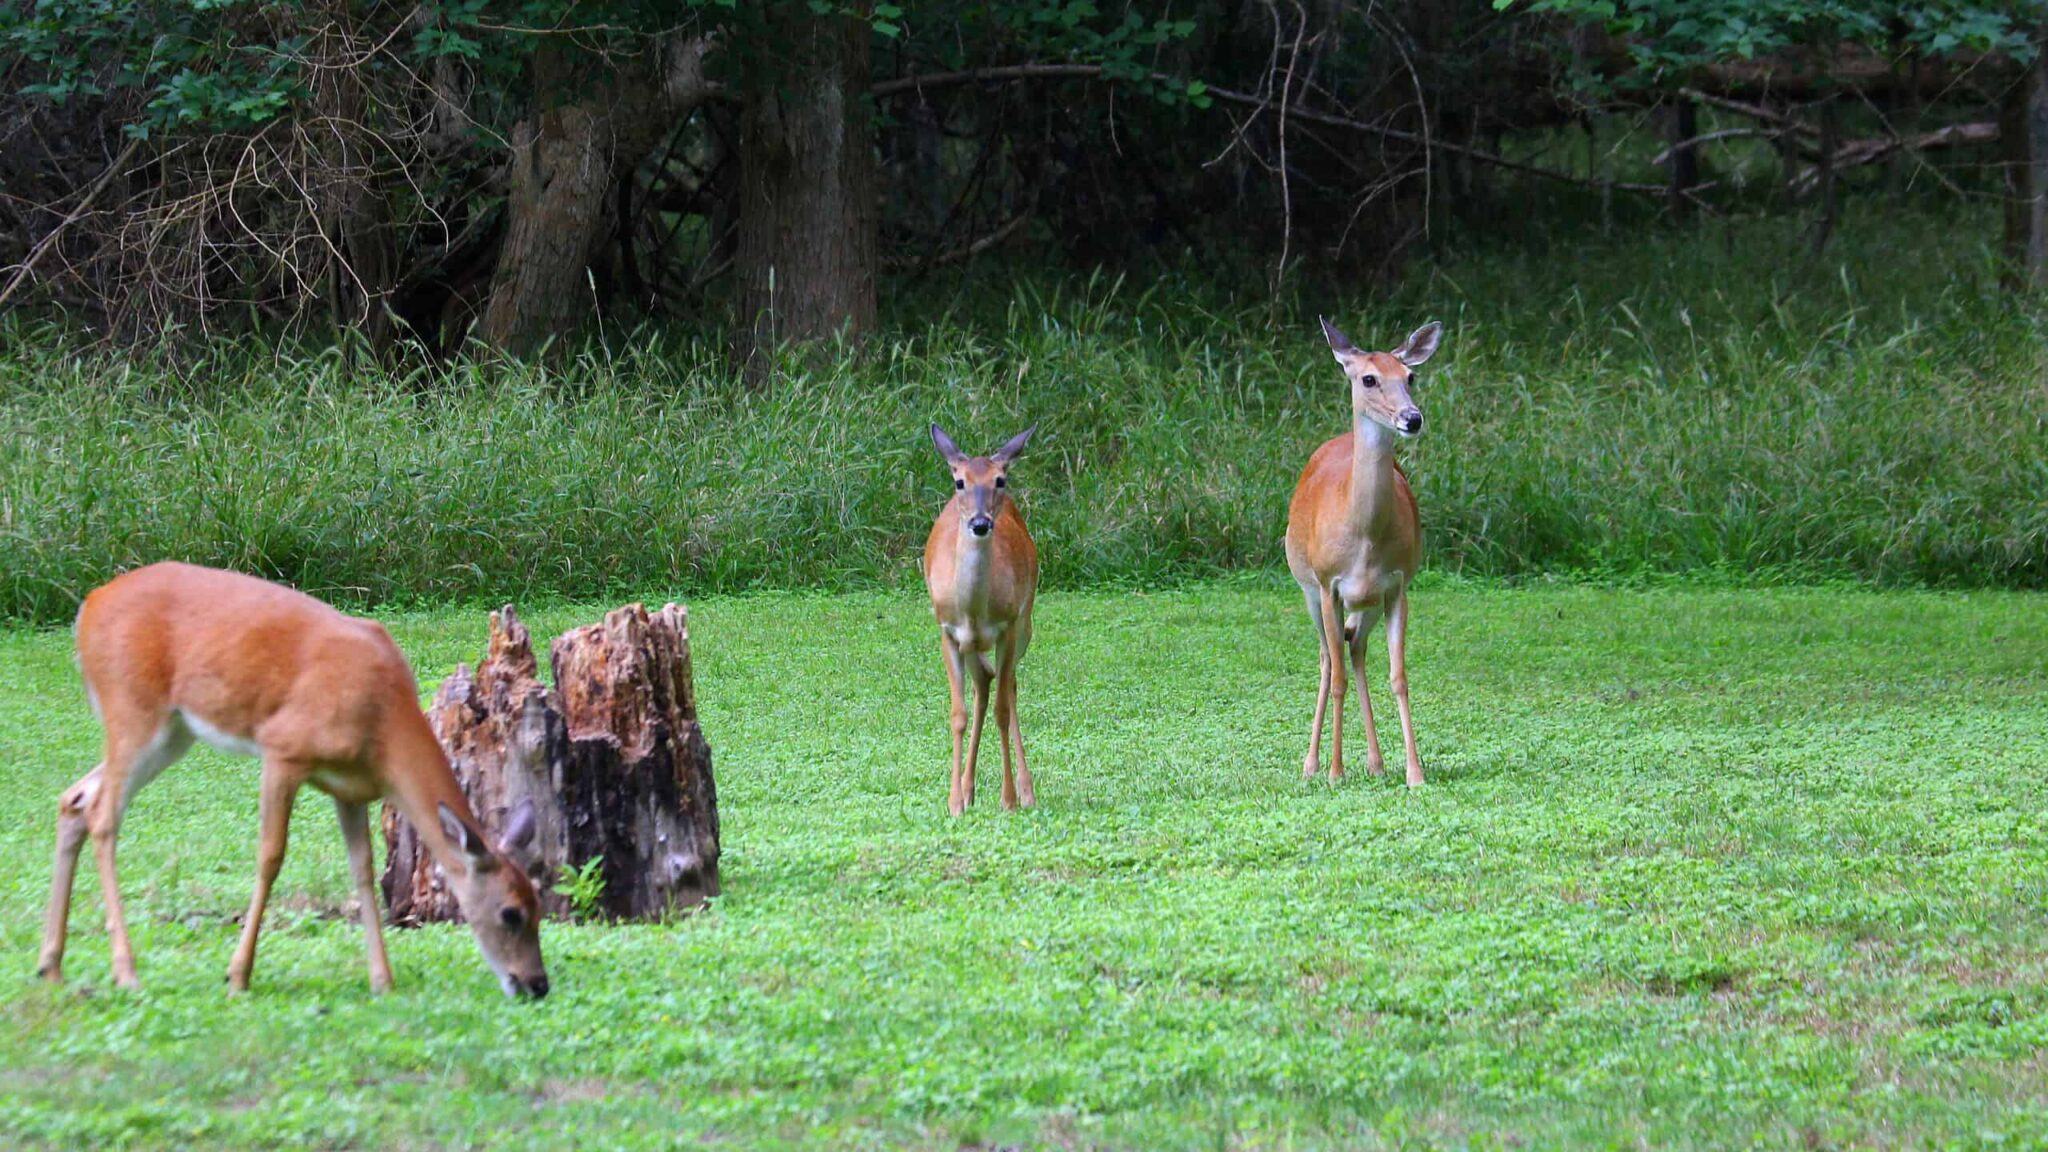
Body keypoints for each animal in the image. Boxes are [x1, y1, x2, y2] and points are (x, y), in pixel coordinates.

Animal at [37, 561, 550, 999]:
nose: (537, 984)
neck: (382, 725)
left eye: (539, 906)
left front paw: (382, 980)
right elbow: (270, 856)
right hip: (133, 708)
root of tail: (89, 607)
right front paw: (238, 975)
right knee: (102, 814)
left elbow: (362, 869)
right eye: (510, 913)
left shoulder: (352, 788)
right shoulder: (283, 749)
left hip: (173, 733)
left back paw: (52, 966)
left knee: (74, 798)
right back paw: (126, 971)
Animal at [923, 424, 1039, 817]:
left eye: (1000, 480)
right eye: (959, 481)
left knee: (1008, 687)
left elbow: (1003, 710)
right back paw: (968, 788)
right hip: (972, 647)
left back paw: (1027, 791)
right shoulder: (947, 632)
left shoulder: (1008, 628)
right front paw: (954, 802)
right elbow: (958, 714)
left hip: (1026, 623)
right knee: (983, 687)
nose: (979, 523)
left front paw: (1009, 799)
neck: (974, 609)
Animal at [1284, 318, 1443, 787]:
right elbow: (1336, 677)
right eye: (1368, 378)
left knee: (1355, 650)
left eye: (1410, 376)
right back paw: (1312, 764)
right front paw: (1335, 771)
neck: (1365, 539)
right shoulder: (1328, 585)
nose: (1412, 418)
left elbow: (1399, 676)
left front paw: (1414, 773)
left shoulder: (1398, 586)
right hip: (1307, 589)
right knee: (1327, 658)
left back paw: (1376, 762)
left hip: (1368, 602)